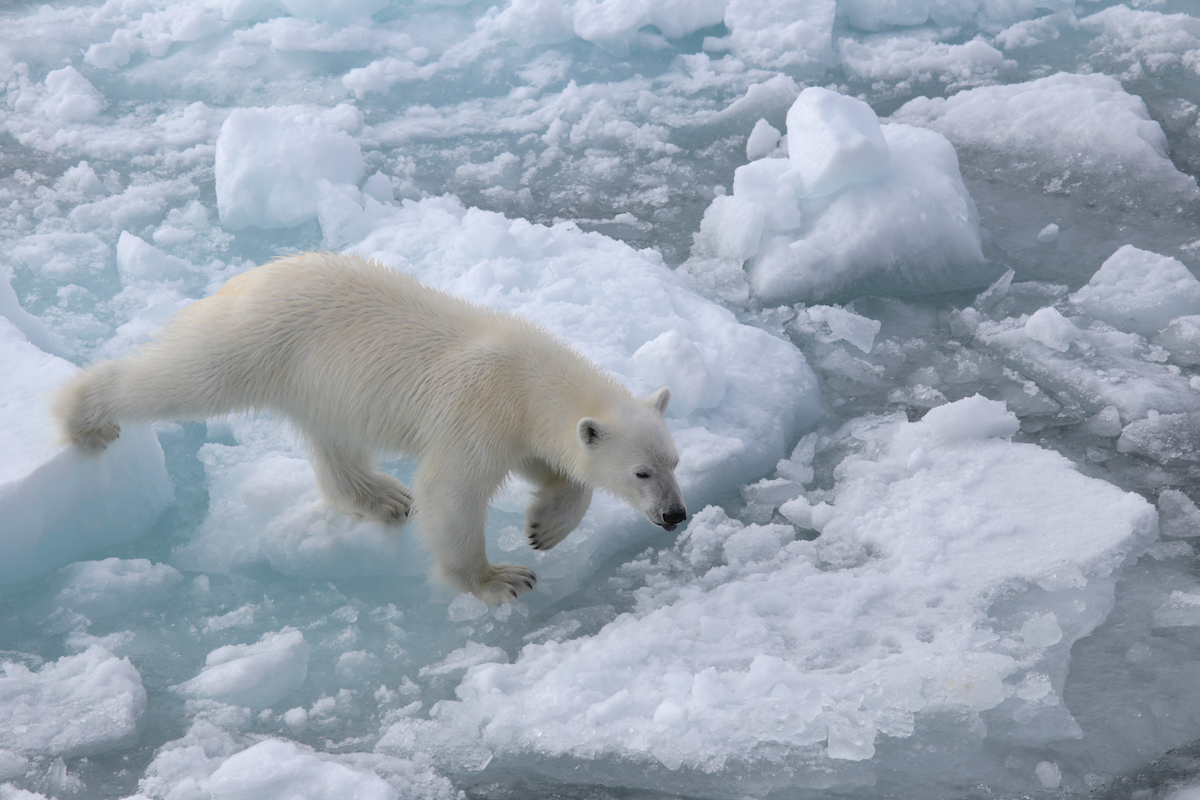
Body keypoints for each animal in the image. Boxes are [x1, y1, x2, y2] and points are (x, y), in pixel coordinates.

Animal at [56, 250, 691, 599]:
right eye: (641, 473)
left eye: (674, 463)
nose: (676, 515)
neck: (526, 376)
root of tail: (242, 279)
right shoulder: (478, 411)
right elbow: (450, 491)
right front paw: (502, 578)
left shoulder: (517, 427)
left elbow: (552, 466)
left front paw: (545, 527)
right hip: (256, 342)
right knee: (182, 378)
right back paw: (84, 415)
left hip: (316, 380)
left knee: (333, 442)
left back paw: (382, 497)